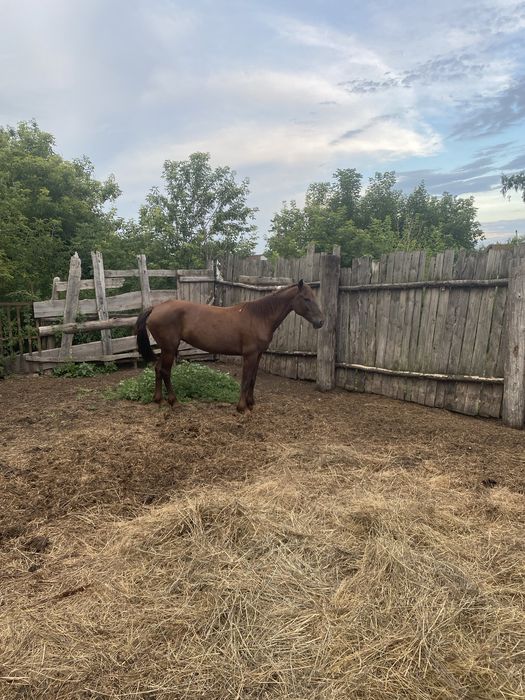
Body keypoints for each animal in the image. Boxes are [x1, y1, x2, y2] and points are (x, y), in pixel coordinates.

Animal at [135, 280, 324, 413]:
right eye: (306, 299)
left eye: (315, 298)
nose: (320, 322)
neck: (259, 316)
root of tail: (155, 308)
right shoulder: (249, 355)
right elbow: (245, 379)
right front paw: (241, 407)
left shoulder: (258, 355)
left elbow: (253, 379)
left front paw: (251, 404)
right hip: (170, 348)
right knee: (165, 371)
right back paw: (174, 402)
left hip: (166, 349)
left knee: (158, 368)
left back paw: (158, 399)